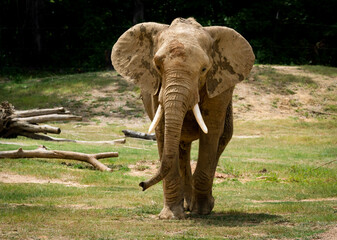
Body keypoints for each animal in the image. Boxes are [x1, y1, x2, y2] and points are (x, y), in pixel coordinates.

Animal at [111, 17, 253, 219]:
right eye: (157, 66)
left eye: (204, 69)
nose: (141, 185)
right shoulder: (156, 88)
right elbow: (163, 133)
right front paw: (171, 216)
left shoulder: (217, 88)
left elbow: (211, 131)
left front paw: (201, 211)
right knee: (182, 147)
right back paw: (186, 205)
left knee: (223, 138)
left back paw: (198, 205)